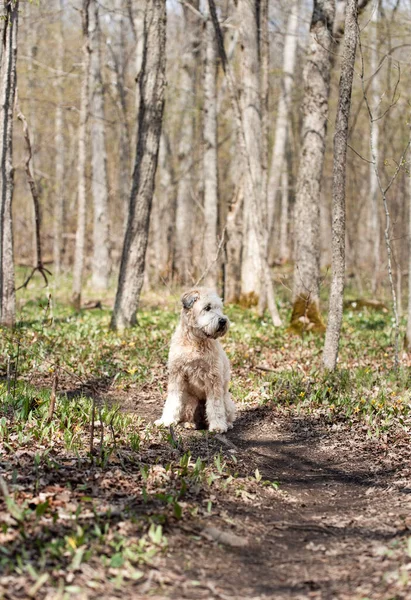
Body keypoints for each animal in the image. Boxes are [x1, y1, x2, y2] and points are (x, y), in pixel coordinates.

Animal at [155, 288, 238, 432]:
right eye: (207, 307)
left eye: (219, 308)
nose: (223, 321)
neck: (195, 341)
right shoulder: (176, 375)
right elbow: (172, 400)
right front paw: (166, 420)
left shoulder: (213, 378)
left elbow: (215, 406)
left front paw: (217, 426)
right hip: (189, 401)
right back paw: (190, 423)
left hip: (227, 401)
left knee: (225, 414)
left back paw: (226, 424)